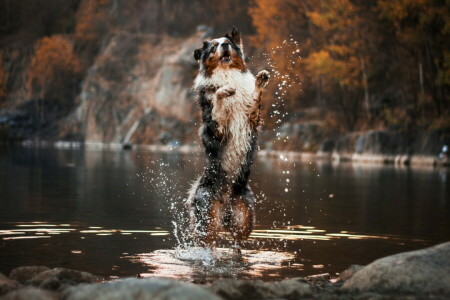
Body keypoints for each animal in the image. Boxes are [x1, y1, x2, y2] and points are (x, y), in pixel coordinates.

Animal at [187, 27, 270, 253]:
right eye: (213, 47)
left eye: (228, 43)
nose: (224, 45)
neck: (227, 73)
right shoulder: (218, 130)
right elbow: (217, 101)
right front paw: (222, 91)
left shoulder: (252, 119)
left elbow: (254, 100)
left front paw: (260, 82)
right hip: (208, 216)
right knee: (207, 243)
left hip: (244, 216)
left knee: (236, 242)